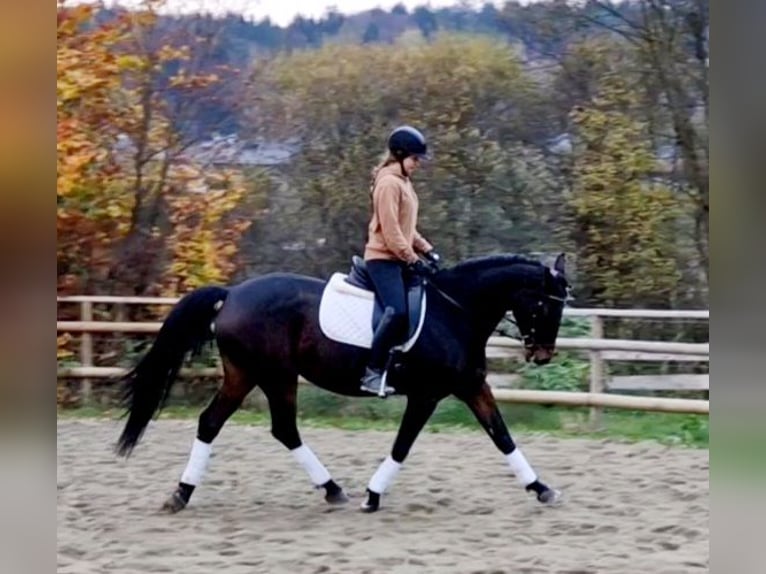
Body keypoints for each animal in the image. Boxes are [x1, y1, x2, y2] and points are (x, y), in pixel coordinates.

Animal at [112, 252, 568, 512]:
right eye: (546, 304)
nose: (543, 354)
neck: (454, 312)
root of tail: (233, 294)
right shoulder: (426, 395)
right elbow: (402, 445)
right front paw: (373, 495)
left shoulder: (471, 386)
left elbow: (501, 436)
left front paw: (541, 489)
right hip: (268, 374)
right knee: (243, 425)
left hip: (257, 375)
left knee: (259, 427)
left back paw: (327, 489)